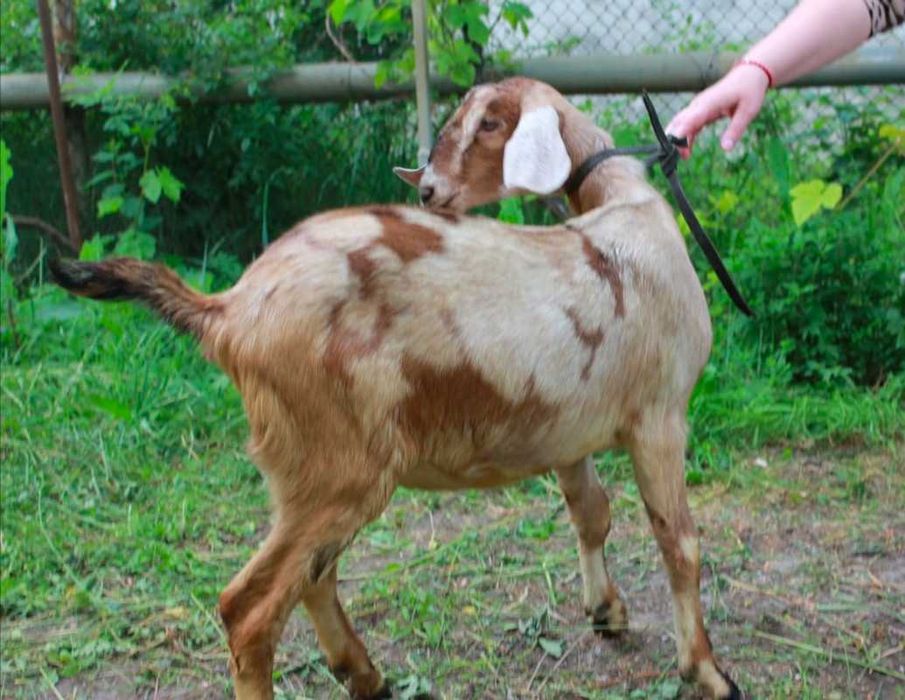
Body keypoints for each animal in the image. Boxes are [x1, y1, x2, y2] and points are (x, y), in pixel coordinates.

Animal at [51, 77, 740, 699]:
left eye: (490, 123)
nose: (429, 189)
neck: (625, 214)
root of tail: (228, 311)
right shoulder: (660, 415)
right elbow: (679, 543)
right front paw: (706, 673)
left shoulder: (571, 427)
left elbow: (591, 512)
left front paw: (606, 612)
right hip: (339, 462)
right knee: (248, 607)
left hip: (311, 471)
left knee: (312, 575)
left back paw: (365, 675)